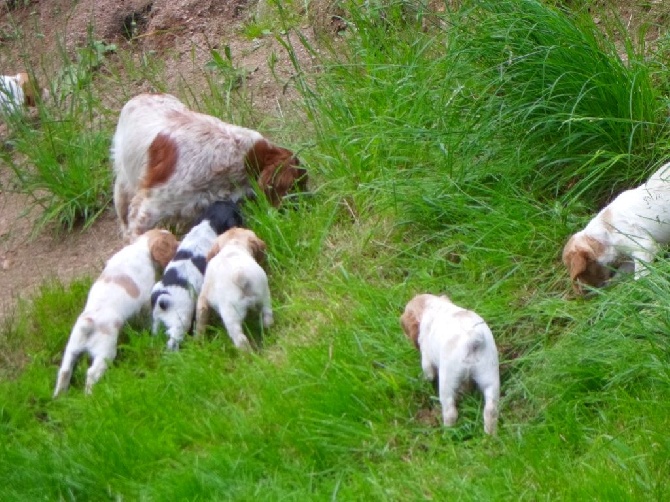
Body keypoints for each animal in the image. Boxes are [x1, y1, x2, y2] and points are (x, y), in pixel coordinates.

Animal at [53, 227, 178, 396]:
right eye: (174, 244)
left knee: (64, 371)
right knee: (92, 374)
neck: (140, 247)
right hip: (105, 353)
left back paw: (59, 397)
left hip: (72, 348)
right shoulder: (145, 300)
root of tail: (88, 323)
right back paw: (90, 396)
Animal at [151, 199, 245, 350]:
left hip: (156, 319)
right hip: (181, 321)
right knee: (173, 341)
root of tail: (162, 299)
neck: (208, 224)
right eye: (236, 213)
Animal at [402, 294, 502, 436]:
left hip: (447, 381)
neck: (434, 306)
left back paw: (447, 433)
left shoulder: (426, 358)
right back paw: (490, 436)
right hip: (490, 376)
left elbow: (428, 374)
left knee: (450, 412)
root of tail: (472, 339)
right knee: (491, 411)